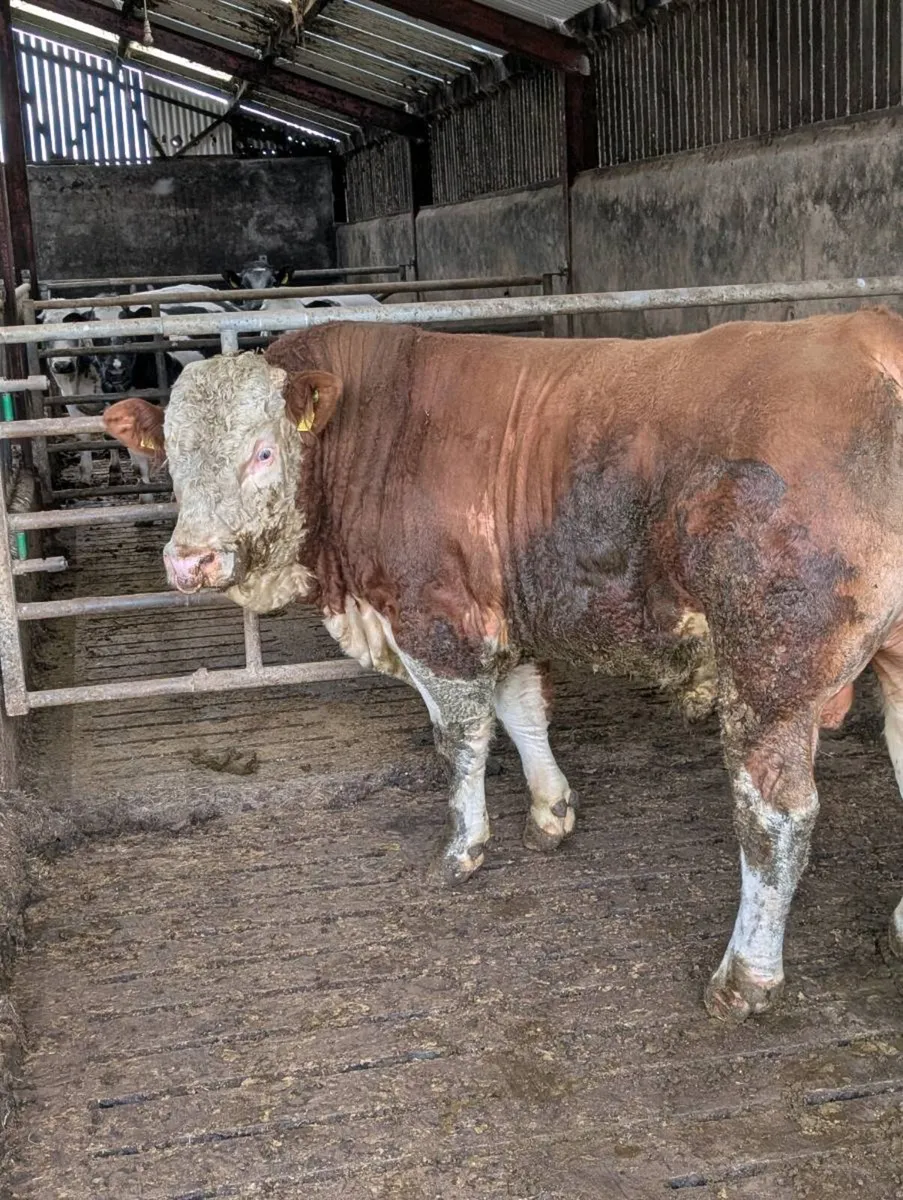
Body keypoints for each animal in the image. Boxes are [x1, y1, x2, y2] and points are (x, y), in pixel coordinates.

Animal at [103, 311, 903, 1024]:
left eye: (264, 451)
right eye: (171, 456)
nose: (190, 560)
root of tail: (867, 335)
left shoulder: (434, 620)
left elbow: (461, 741)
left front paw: (463, 849)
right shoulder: (503, 616)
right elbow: (522, 713)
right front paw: (551, 813)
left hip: (771, 670)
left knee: (775, 816)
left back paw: (743, 981)